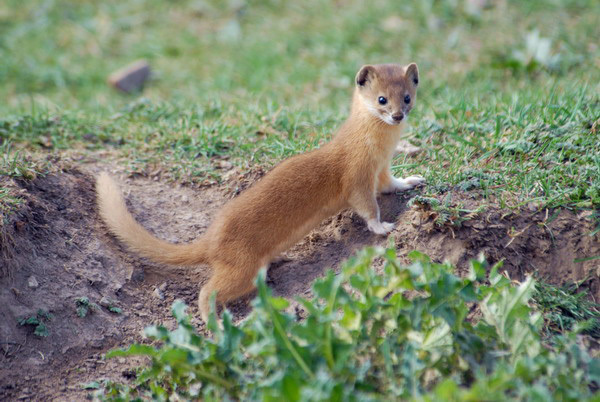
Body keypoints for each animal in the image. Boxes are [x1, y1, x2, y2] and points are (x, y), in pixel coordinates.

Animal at [97, 62, 422, 320]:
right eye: (381, 99)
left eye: (407, 97)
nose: (397, 115)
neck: (378, 150)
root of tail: (211, 238)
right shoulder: (356, 176)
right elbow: (366, 206)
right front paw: (383, 226)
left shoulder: (382, 170)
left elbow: (391, 184)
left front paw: (412, 180)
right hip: (242, 267)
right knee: (207, 290)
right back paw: (212, 321)